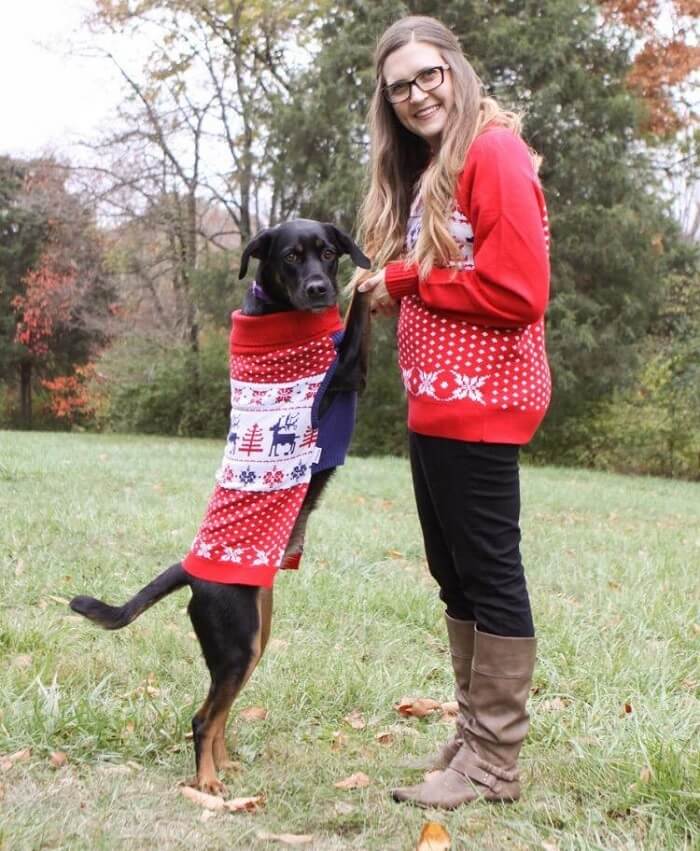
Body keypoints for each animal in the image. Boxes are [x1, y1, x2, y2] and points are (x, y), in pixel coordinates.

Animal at [71, 223, 372, 796]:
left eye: (327, 253)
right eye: (290, 257)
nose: (320, 288)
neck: (276, 312)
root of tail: (190, 570)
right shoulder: (344, 375)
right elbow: (358, 320)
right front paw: (376, 277)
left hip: (253, 641)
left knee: (220, 714)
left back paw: (224, 766)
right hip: (237, 644)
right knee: (202, 717)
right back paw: (207, 784)